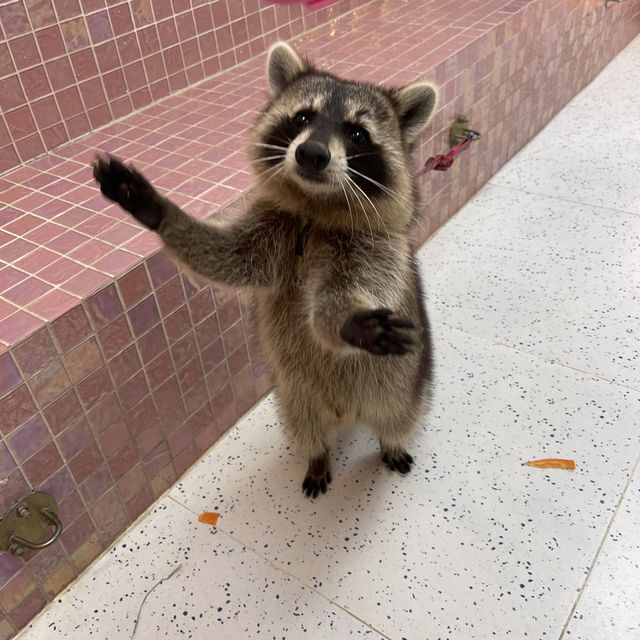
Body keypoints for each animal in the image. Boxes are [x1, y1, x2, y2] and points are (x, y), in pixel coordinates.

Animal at [92, 41, 438, 500]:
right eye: (303, 117)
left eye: (357, 134)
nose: (311, 153)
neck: (313, 208)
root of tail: (345, 413)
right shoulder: (270, 229)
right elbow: (228, 258)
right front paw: (160, 211)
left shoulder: (375, 250)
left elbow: (346, 293)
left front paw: (347, 320)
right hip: (293, 396)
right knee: (305, 425)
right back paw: (317, 454)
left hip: (402, 385)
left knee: (400, 416)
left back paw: (391, 440)